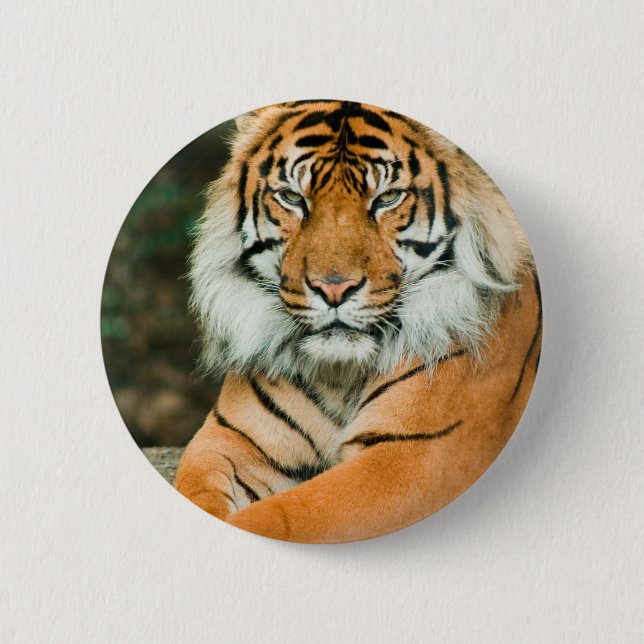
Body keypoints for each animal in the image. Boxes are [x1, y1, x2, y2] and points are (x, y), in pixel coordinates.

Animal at [175, 99, 542, 543]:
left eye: (388, 198)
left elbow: (285, 517)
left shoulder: (412, 456)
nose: (334, 289)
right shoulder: (230, 439)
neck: (339, 375)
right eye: (292, 198)